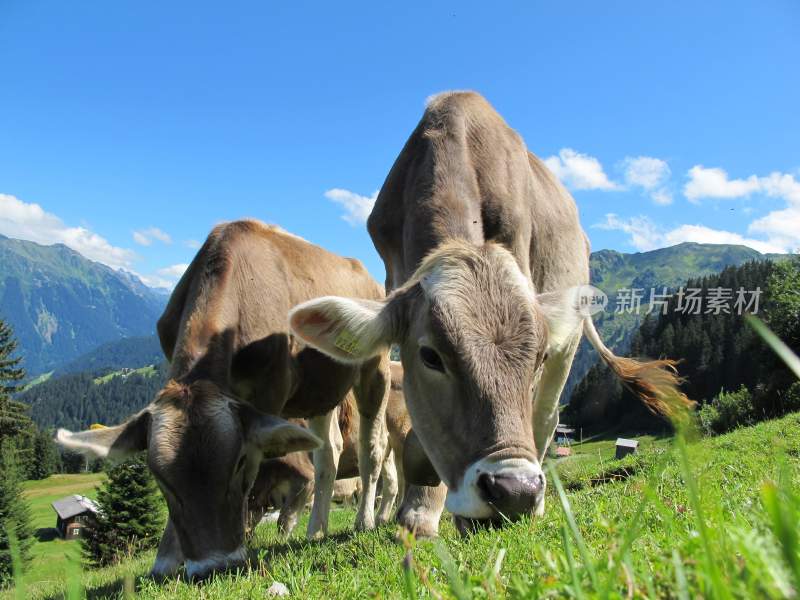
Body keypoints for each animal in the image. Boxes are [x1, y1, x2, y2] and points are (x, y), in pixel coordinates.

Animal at [54, 221, 392, 580]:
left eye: (239, 463)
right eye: (159, 478)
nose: (213, 566)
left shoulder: (269, 394)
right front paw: (166, 559)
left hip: (375, 368)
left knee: (372, 447)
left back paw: (365, 521)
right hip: (320, 390)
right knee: (329, 452)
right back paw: (316, 529)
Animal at [248, 360, 410, 536]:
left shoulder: (304, 478)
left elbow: (285, 519)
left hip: (402, 436)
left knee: (403, 477)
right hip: (388, 451)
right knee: (392, 480)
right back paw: (382, 518)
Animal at [290, 92, 692, 536]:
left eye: (537, 356)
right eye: (430, 356)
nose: (515, 491)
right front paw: (419, 512)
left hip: (568, 344)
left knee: (546, 417)